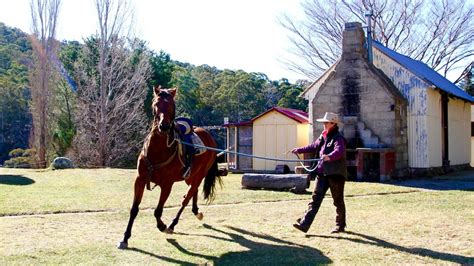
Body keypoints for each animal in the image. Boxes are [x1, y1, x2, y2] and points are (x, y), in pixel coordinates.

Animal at [116, 85, 224, 249]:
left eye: (172, 105)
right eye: (156, 104)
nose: (164, 126)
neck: (157, 151)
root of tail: (209, 137)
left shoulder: (167, 185)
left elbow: (158, 211)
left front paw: (162, 226)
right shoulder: (140, 180)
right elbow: (134, 209)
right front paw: (125, 238)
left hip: (199, 175)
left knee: (187, 198)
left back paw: (173, 224)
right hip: (190, 176)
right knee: (192, 192)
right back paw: (196, 211)